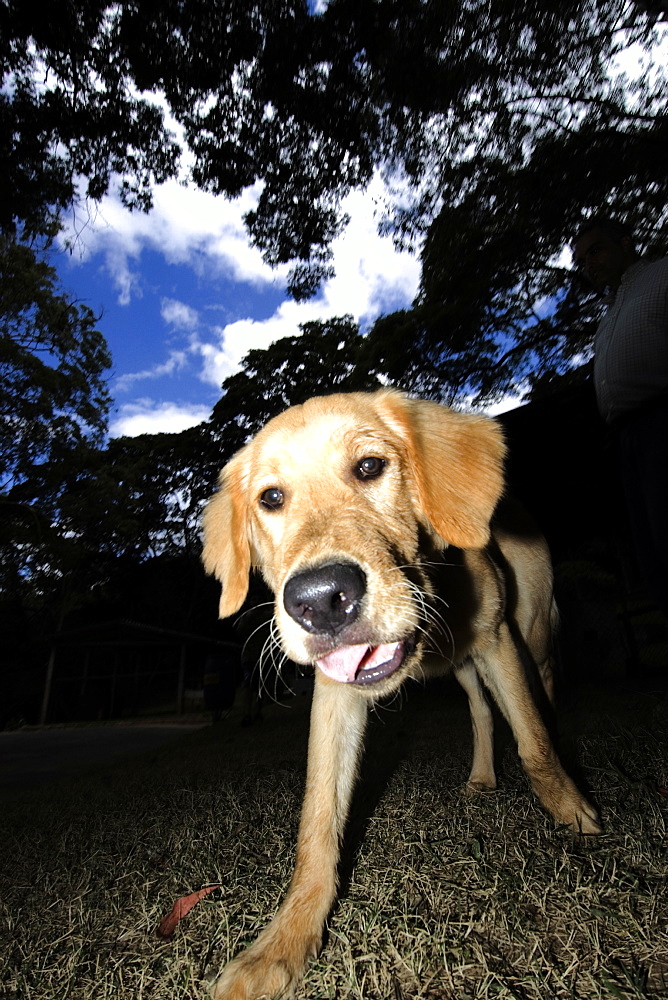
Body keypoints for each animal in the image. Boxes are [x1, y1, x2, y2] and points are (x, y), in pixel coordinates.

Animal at [202, 388, 600, 1000]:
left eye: (370, 466)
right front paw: (283, 943)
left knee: (543, 697)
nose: (319, 601)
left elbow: (534, 742)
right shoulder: (336, 691)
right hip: (464, 665)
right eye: (271, 498)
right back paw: (482, 775)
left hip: (531, 630)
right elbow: (318, 822)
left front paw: (574, 814)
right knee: (481, 711)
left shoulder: (498, 639)